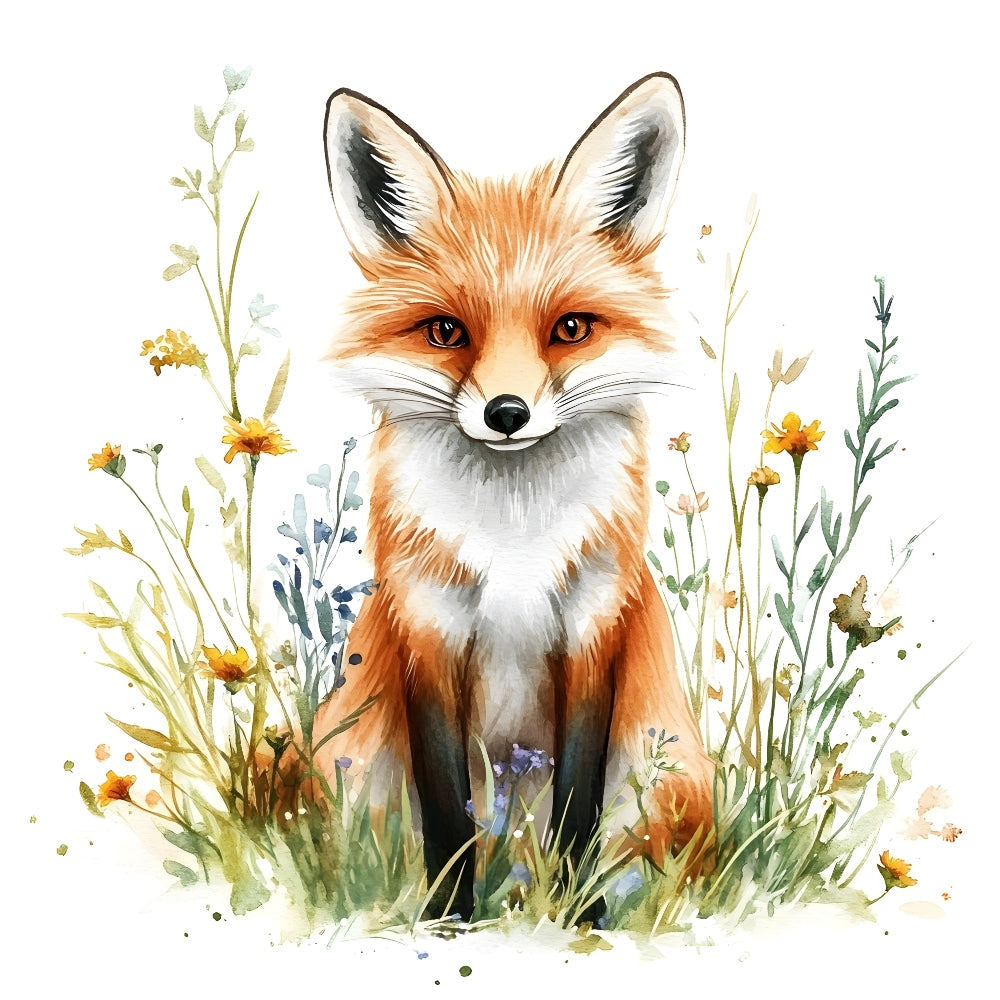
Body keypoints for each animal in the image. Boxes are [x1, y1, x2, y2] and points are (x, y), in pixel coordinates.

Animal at [306, 72, 716, 919]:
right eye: (445, 332)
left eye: (570, 329)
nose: (506, 414)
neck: (515, 541)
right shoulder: (427, 629)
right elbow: (448, 811)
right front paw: (449, 919)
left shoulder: (593, 626)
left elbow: (577, 805)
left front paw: (581, 917)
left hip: (669, 779)